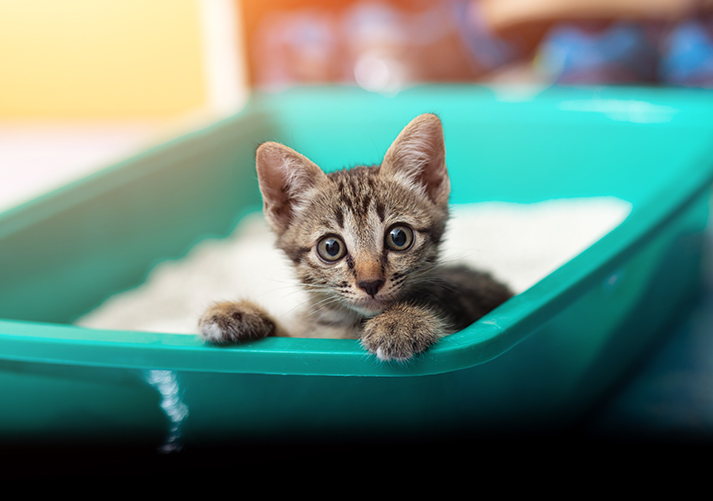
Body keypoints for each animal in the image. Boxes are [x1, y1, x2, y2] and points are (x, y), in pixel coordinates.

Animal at [199, 113, 512, 362]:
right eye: (331, 247)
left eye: (399, 237)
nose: (370, 283)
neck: (349, 326)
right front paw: (239, 313)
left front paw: (401, 321)